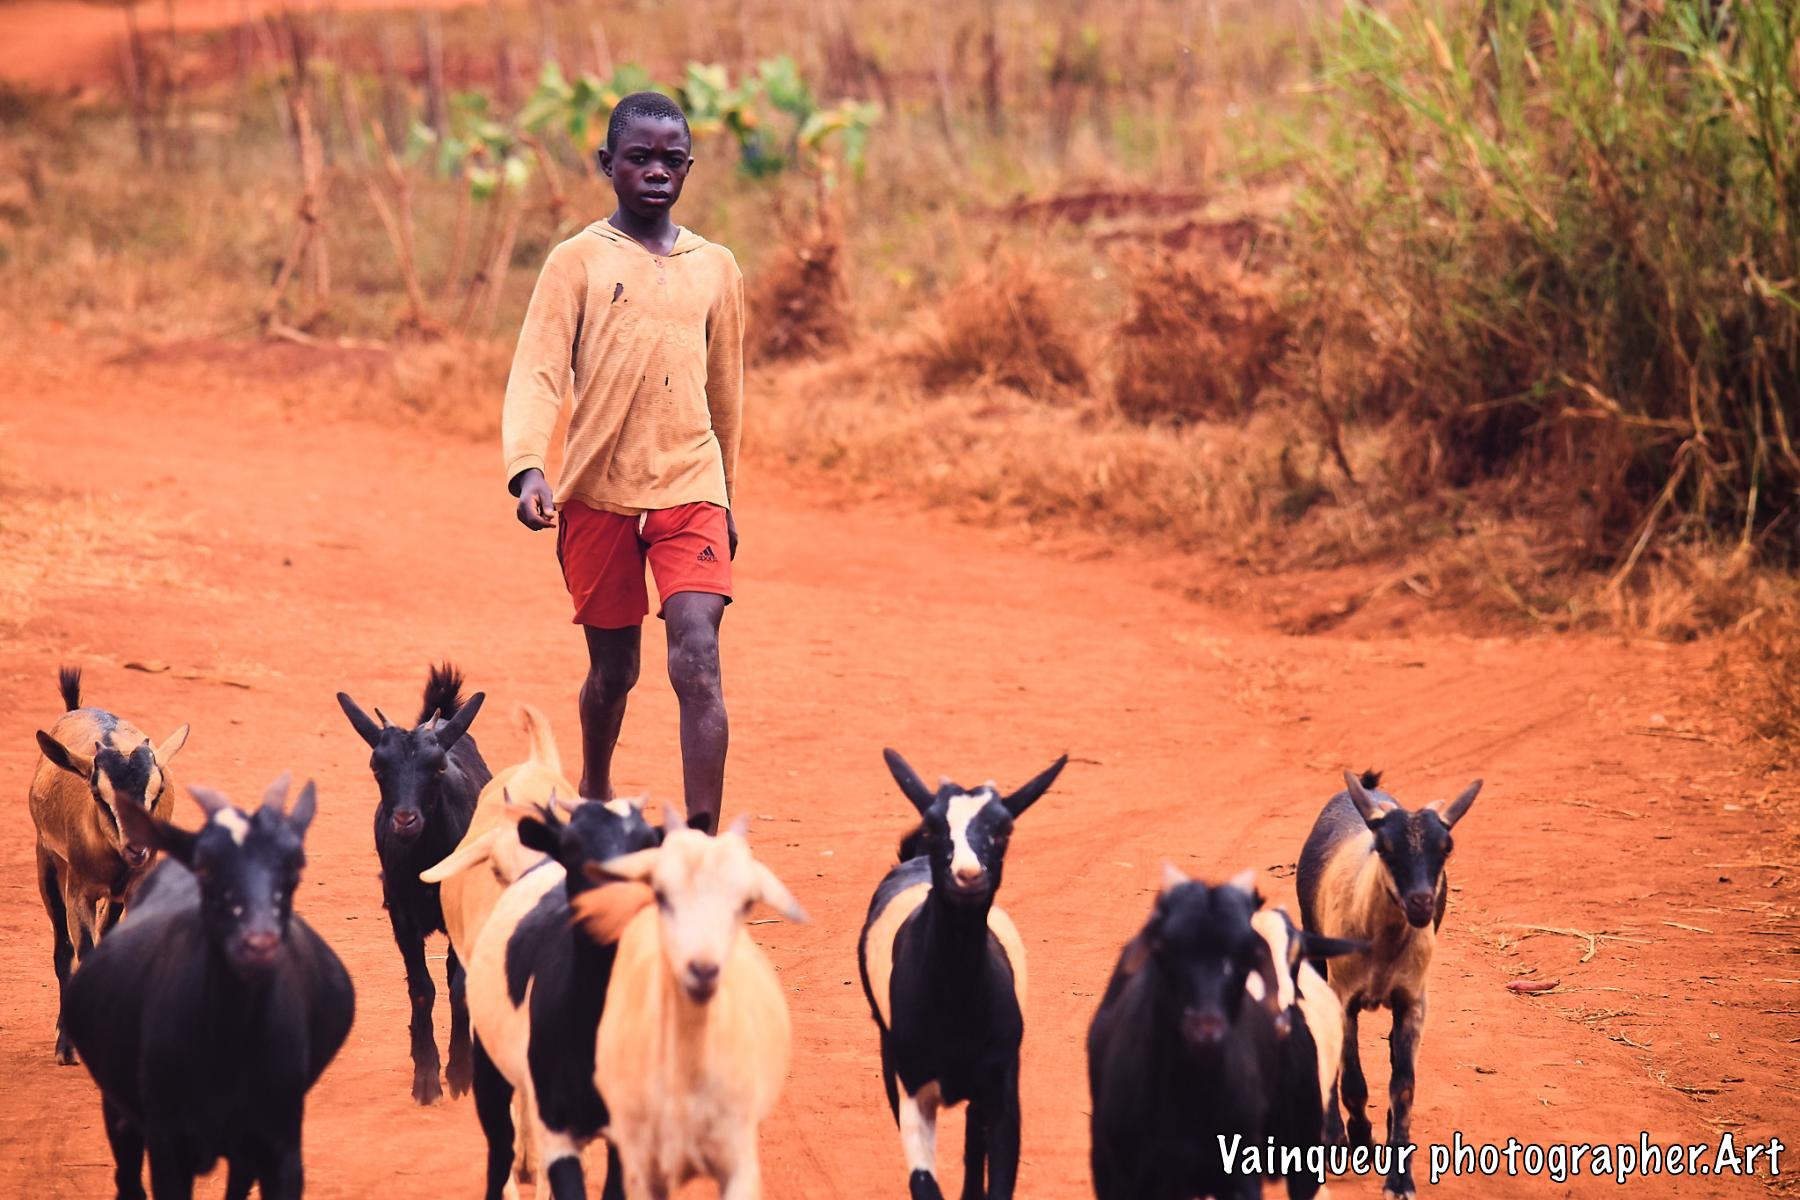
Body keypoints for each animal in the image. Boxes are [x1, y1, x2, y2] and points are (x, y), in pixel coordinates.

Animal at [30, 665, 189, 1064]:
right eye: (99, 796)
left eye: (157, 793)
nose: (136, 847)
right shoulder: (79, 891)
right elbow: (79, 951)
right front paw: (68, 1046)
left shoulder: (135, 886)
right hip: (48, 863)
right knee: (63, 950)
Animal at [62, 774, 354, 1200]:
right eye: (207, 868)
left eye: (294, 866)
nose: (259, 943)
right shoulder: (168, 1146)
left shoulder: (279, 1144)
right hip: (119, 1113)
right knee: (127, 1179)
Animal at [337, 663, 489, 1105]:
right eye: (377, 767)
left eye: (437, 767)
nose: (405, 820)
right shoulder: (402, 917)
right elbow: (422, 988)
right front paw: (425, 1078)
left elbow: (458, 987)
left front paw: (460, 1074)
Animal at [858, 748, 1066, 1200]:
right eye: (934, 826)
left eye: (1004, 829)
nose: (968, 876)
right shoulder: (912, 1088)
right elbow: (923, 1183)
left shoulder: (1002, 1089)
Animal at [1297, 769, 1481, 1200]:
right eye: (1383, 847)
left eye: (1446, 847)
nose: (1421, 903)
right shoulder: (1344, 997)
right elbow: (1352, 1080)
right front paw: (1354, 1139)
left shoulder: (1413, 1002)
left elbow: (1404, 1085)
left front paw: (1399, 1176)